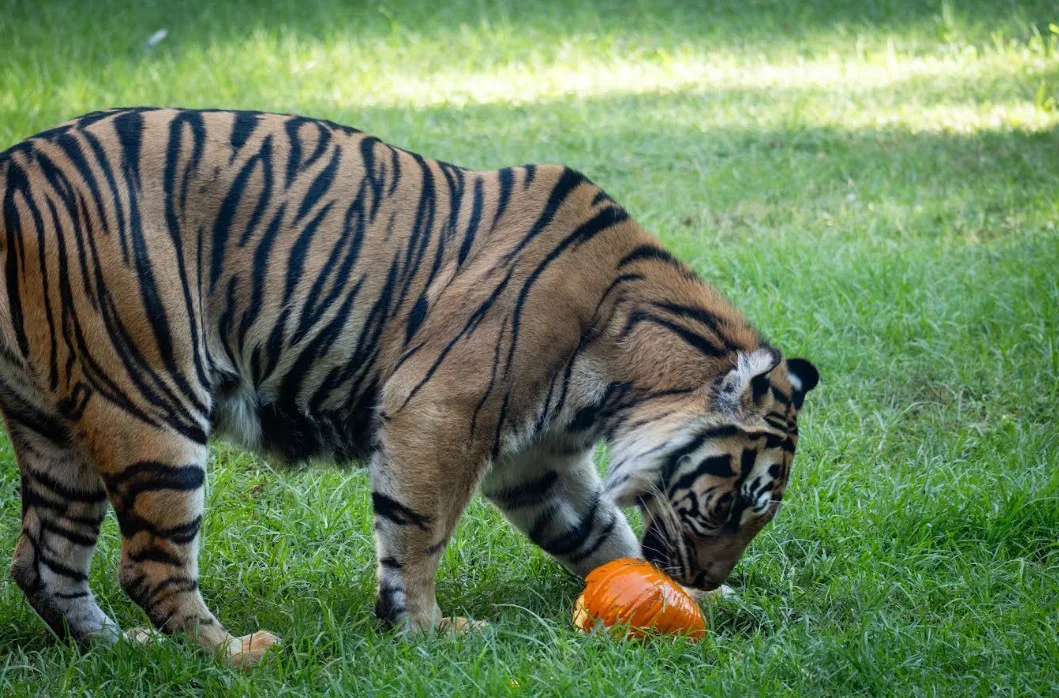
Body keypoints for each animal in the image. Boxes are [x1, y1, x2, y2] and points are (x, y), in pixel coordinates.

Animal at [0, 108, 818, 665]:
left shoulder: (539, 462)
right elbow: (418, 533)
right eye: (731, 505)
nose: (704, 574)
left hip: (56, 429)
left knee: (44, 562)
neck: (622, 376)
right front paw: (425, 629)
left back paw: (119, 648)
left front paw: (695, 599)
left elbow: (599, 533)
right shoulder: (438, 412)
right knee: (146, 565)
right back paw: (236, 656)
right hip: (149, 404)